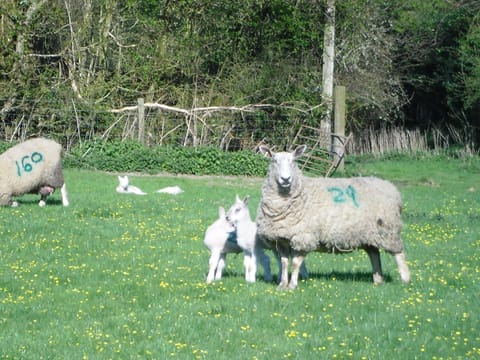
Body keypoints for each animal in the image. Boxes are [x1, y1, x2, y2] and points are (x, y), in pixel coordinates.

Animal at [256, 144, 410, 290]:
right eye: (274, 161)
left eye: (293, 161)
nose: (286, 179)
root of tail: (391, 187)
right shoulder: (281, 238)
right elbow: (284, 262)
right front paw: (282, 285)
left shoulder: (304, 236)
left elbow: (295, 263)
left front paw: (292, 285)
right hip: (369, 233)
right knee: (374, 253)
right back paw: (378, 280)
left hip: (388, 229)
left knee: (398, 253)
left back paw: (405, 279)